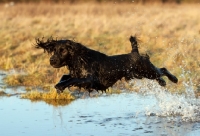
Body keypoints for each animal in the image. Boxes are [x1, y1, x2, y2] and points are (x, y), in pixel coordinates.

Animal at [35, 36, 177, 93]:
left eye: (63, 50)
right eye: (54, 50)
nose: (52, 60)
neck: (80, 58)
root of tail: (134, 52)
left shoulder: (89, 79)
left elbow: (71, 79)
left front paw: (60, 86)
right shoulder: (76, 75)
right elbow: (65, 76)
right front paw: (59, 85)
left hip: (146, 70)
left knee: (162, 70)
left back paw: (172, 79)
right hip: (139, 74)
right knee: (160, 72)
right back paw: (163, 82)